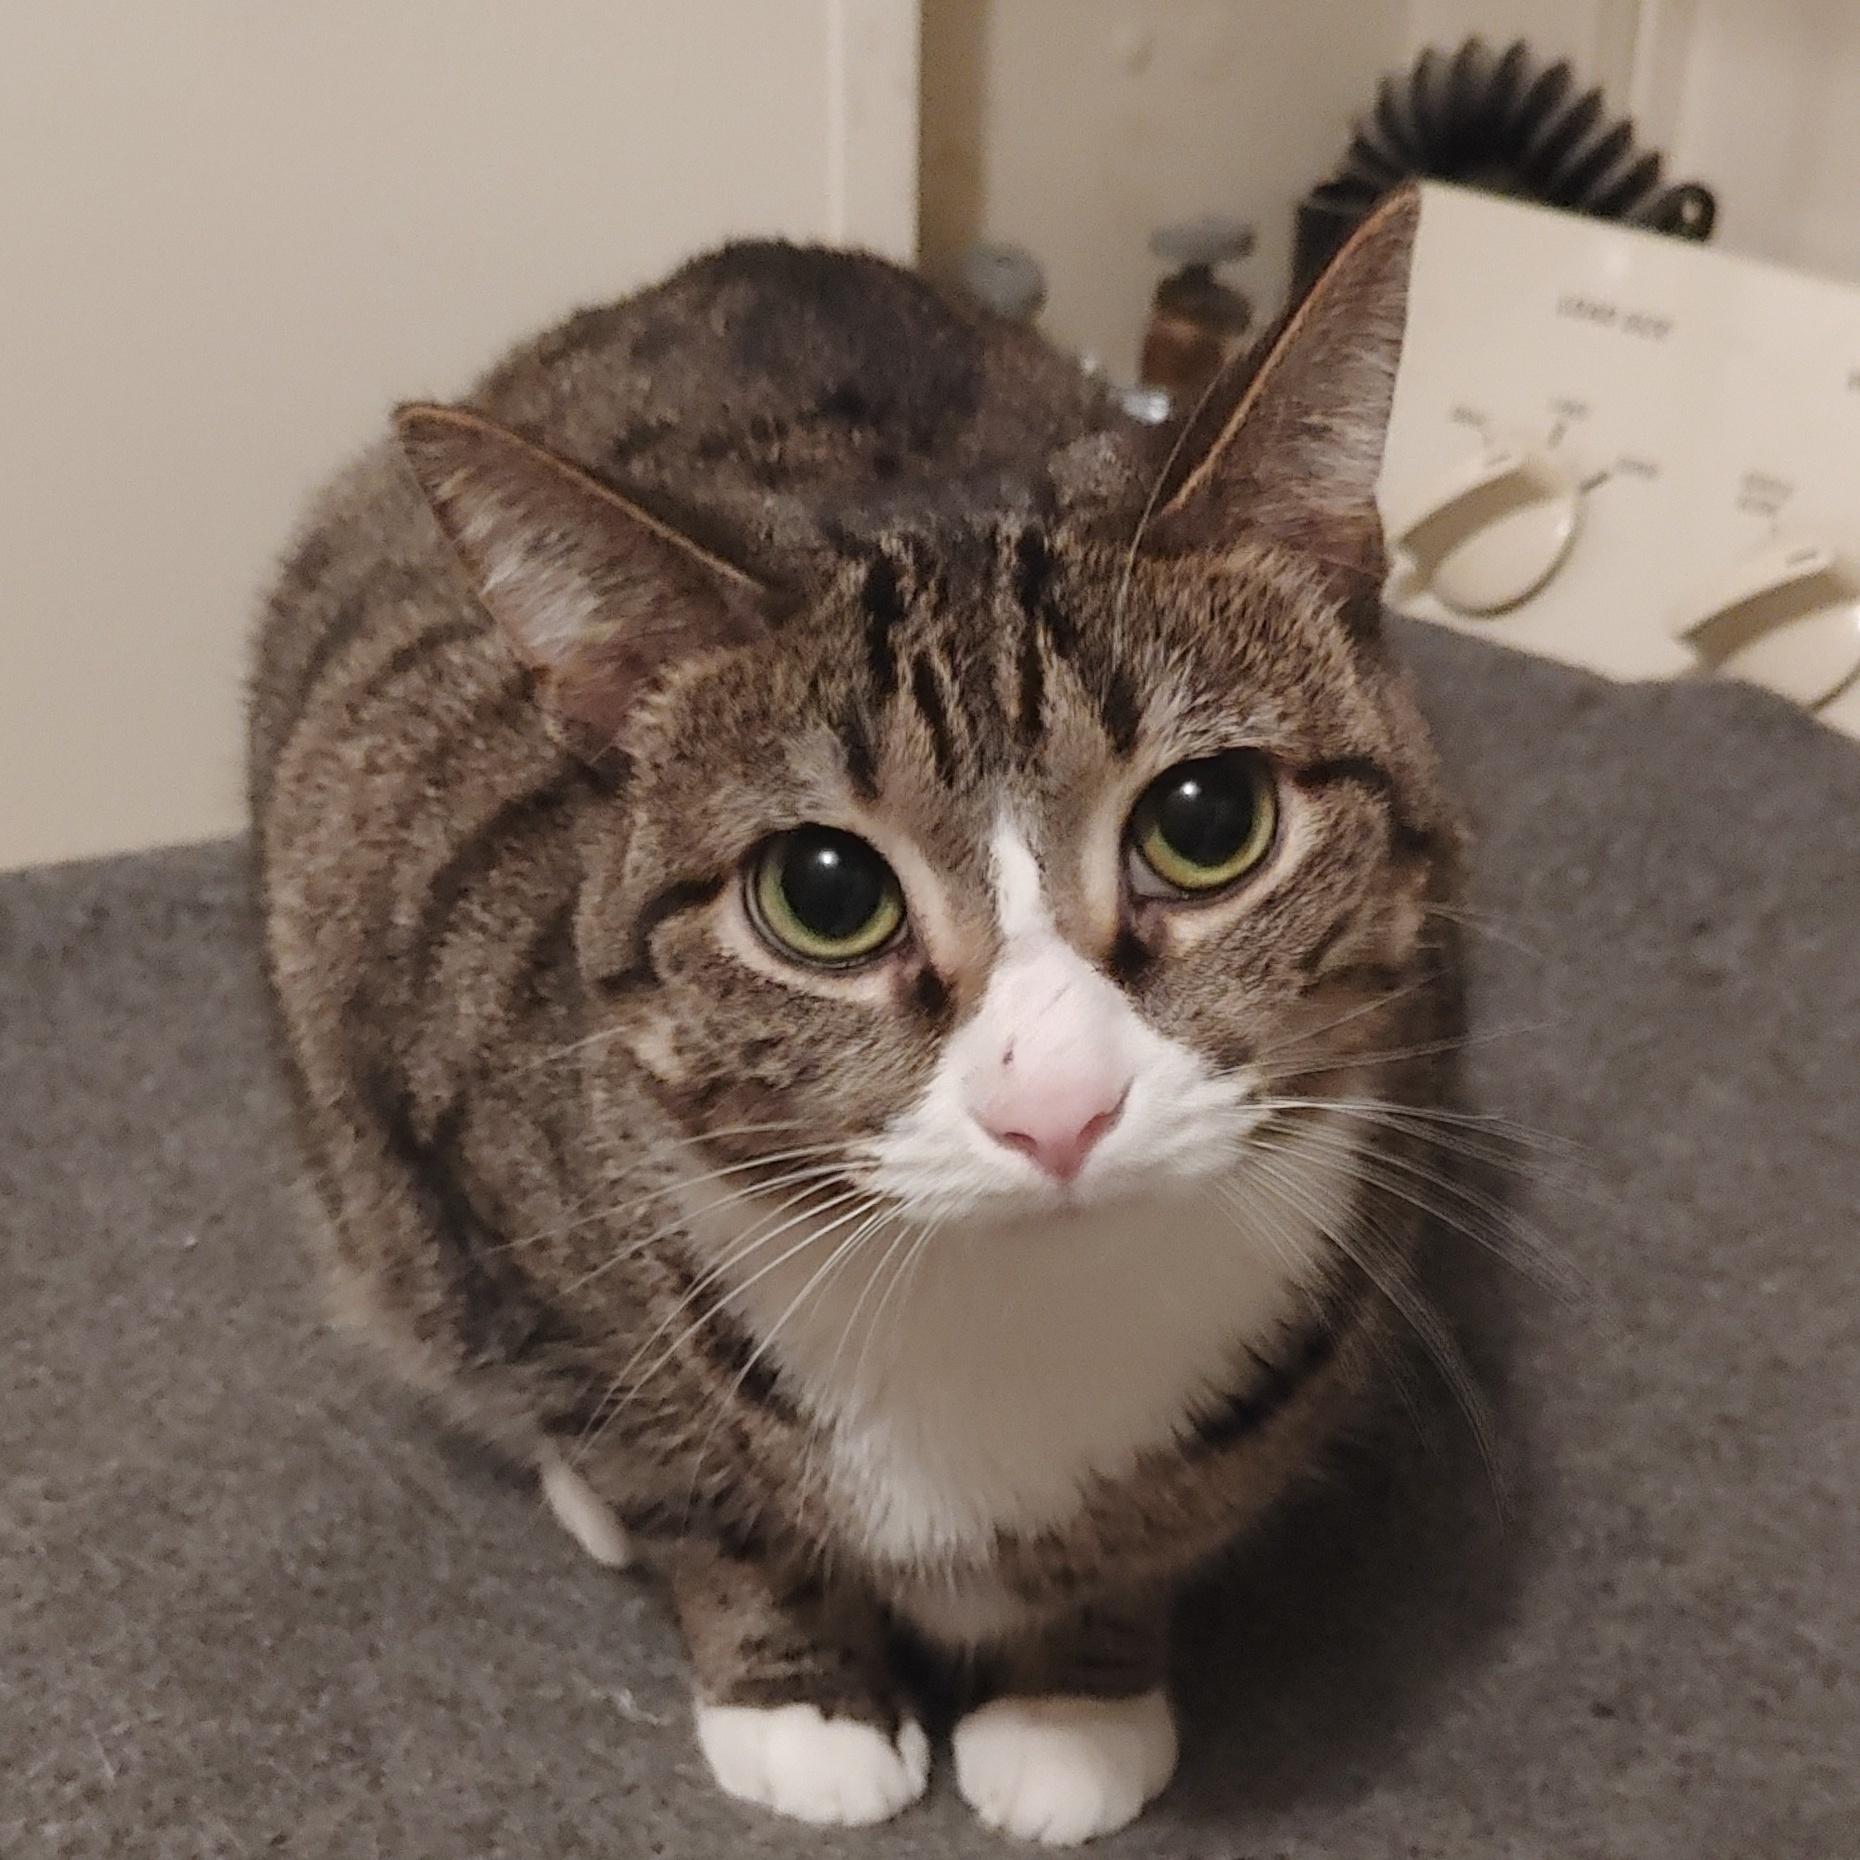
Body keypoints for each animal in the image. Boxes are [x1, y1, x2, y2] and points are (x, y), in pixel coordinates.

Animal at [251, 188, 1465, 1845]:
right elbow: (681, 1473)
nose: (1057, 1106)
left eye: (1209, 820)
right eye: (824, 895)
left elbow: (1153, 1526)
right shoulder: (457, 1129)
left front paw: (1073, 1701)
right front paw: (801, 1702)